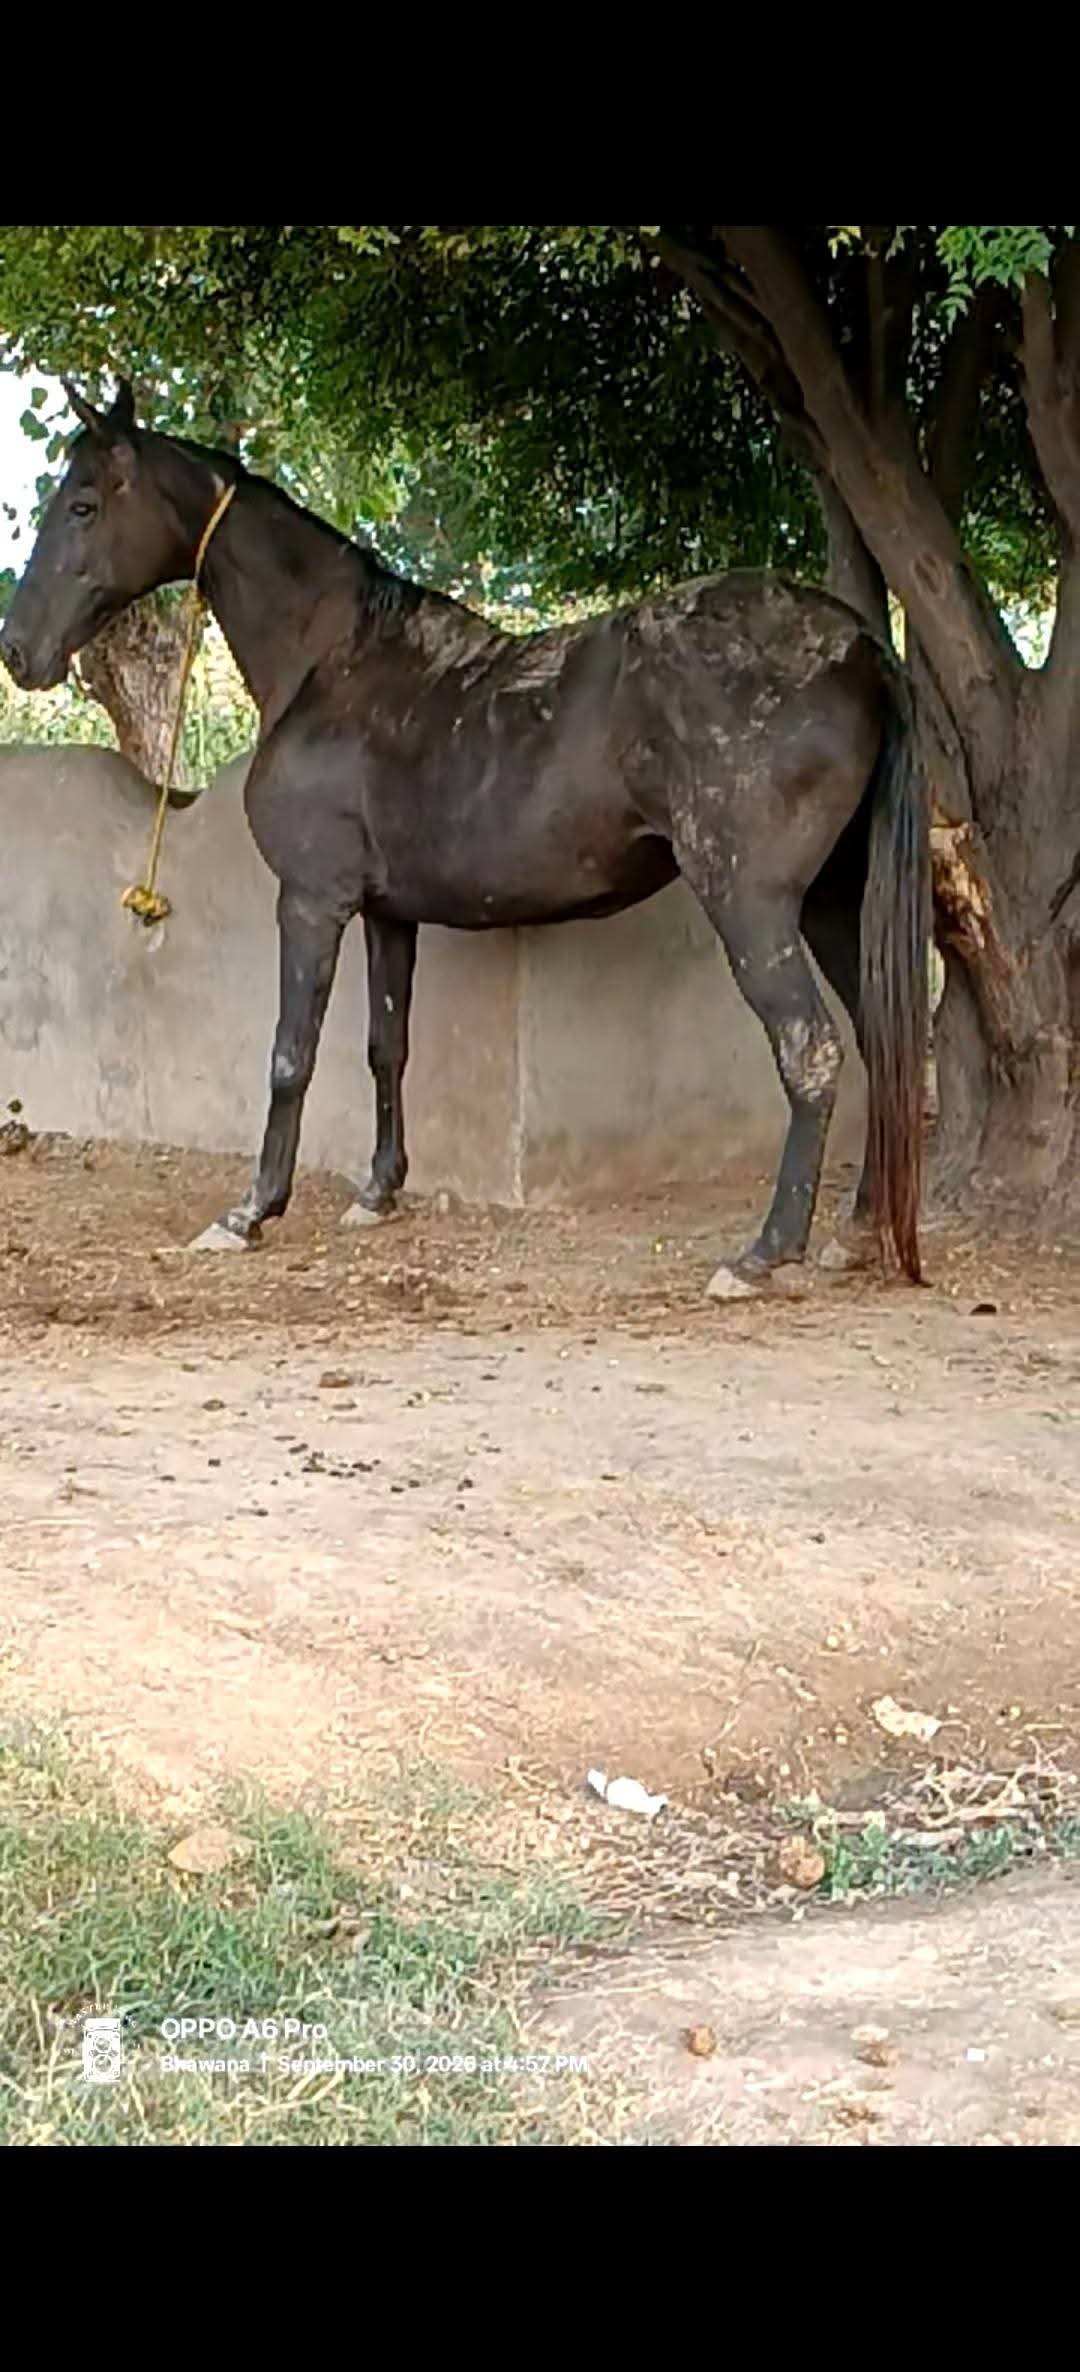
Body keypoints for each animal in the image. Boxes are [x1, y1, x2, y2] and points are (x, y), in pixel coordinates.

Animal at [0, 380, 929, 1295]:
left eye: (83, 503)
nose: (17, 650)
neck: (331, 661)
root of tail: (859, 645)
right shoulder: (387, 913)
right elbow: (387, 1047)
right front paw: (378, 1192)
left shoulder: (311, 901)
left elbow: (290, 1054)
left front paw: (251, 1212)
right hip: (832, 902)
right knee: (878, 1045)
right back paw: (852, 1236)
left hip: (751, 904)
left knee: (810, 1051)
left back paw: (765, 1252)